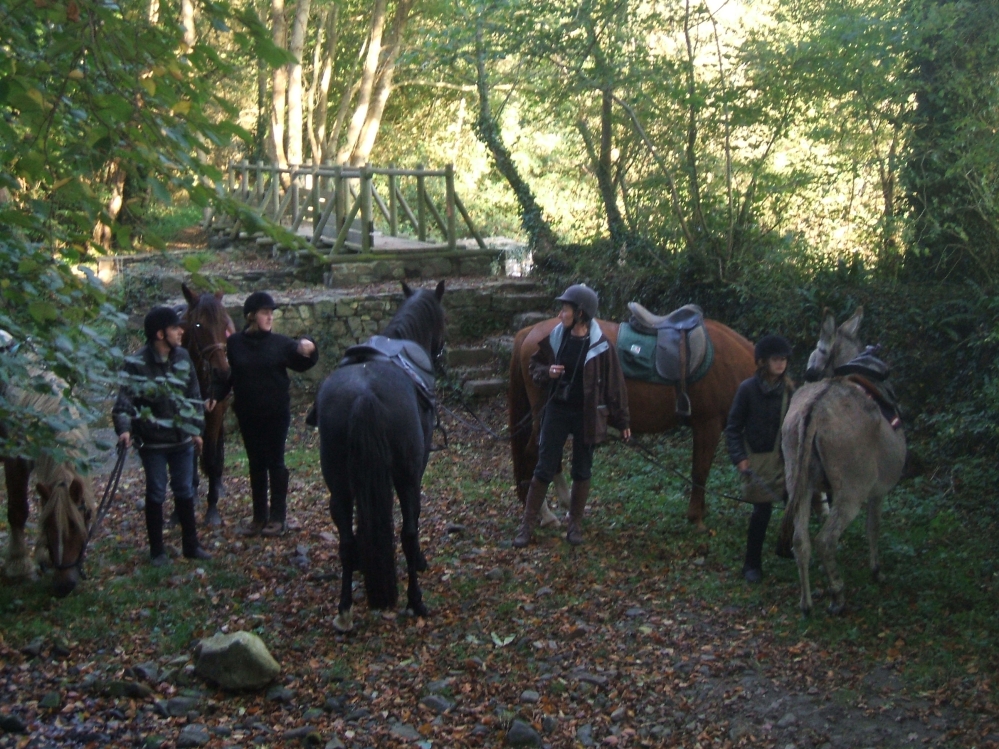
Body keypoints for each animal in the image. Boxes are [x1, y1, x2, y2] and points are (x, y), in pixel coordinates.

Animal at [312, 280, 446, 632]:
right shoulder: (417, 469)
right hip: (406, 477)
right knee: (408, 534)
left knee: (345, 542)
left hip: (338, 485)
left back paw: (344, 608)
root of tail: (364, 394)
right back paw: (416, 601)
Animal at [512, 318, 752, 532]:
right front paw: (696, 517)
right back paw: (546, 515)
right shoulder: (708, 423)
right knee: (533, 456)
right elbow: (700, 471)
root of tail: (530, 331)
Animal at [776, 306, 912, 616]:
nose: (807, 376)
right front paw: (876, 570)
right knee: (826, 540)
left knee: (801, 540)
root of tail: (815, 409)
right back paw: (837, 594)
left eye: (811, 365)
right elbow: (874, 527)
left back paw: (807, 602)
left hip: (799, 481)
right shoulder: (877, 491)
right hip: (852, 492)